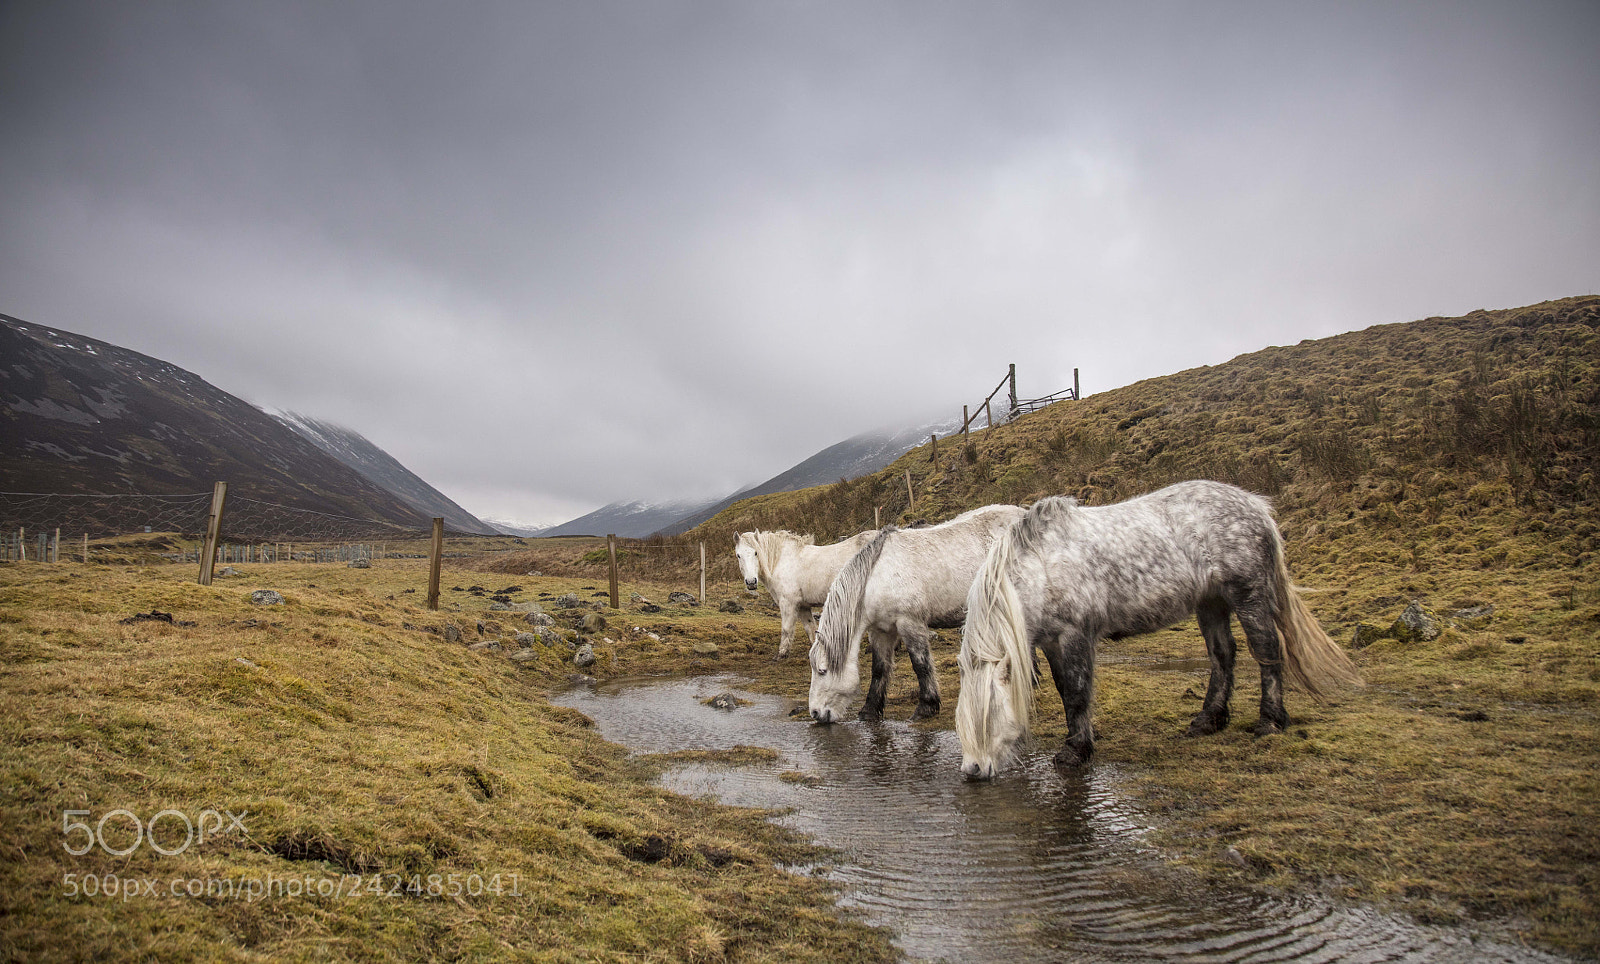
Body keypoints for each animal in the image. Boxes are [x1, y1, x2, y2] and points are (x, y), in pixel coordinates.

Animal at [734, 529, 878, 658]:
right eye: (738, 555)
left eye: (756, 553)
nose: (751, 582)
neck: (781, 561)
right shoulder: (803, 606)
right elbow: (811, 630)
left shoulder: (788, 604)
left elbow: (786, 629)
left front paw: (782, 654)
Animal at [808, 504, 1026, 724]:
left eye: (822, 670)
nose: (815, 713)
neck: (876, 578)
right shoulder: (881, 631)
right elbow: (879, 668)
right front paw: (869, 710)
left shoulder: (910, 624)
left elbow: (921, 665)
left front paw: (926, 707)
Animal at [955, 480, 1362, 780]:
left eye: (990, 712)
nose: (973, 770)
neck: (1041, 568)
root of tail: (1255, 505)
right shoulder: (1052, 642)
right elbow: (1064, 691)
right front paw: (1078, 741)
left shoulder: (1074, 636)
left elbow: (1076, 692)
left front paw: (1075, 751)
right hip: (1211, 602)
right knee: (1222, 654)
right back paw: (1209, 720)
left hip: (1250, 596)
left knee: (1266, 650)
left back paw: (1270, 721)